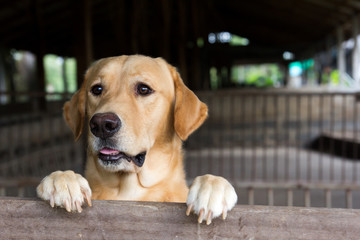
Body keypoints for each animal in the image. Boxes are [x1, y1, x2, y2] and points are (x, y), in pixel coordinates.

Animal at [36, 55, 238, 224]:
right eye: (97, 89)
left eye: (143, 89)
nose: (101, 124)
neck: (129, 189)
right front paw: (64, 180)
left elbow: (212, 181)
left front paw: (211, 188)